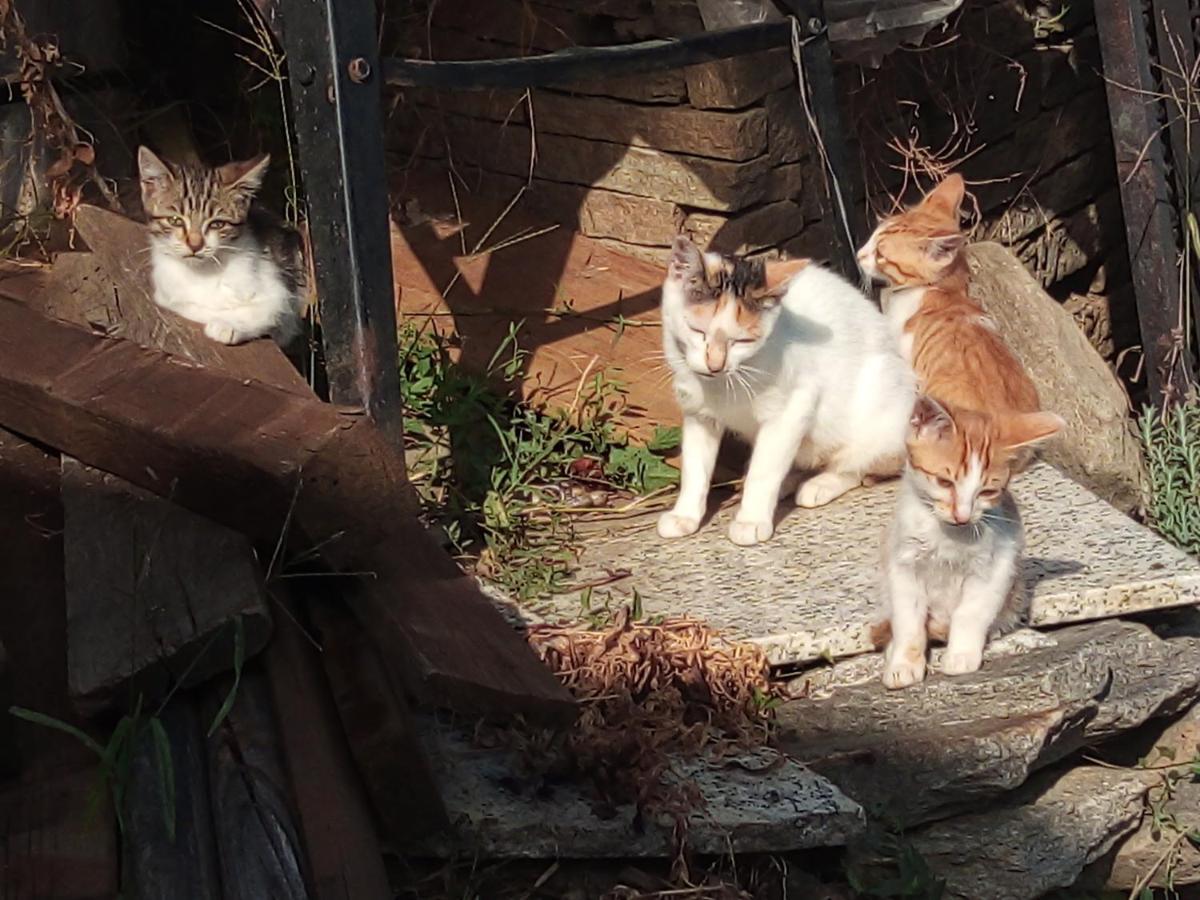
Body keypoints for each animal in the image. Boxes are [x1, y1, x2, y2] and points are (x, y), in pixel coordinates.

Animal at [136, 146, 307, 348]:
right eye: (175, 220)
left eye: (217, 224)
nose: (195, 245)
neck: (201, 272)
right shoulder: (165, 289)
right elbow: (182, 305)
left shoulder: (279, 290)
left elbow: (270, 311)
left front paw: (227, 325)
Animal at [652, 236, 912, 547]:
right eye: (697, 330)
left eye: (741, 341)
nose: (715, 364)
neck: (723, 385)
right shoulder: (699, 415)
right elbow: (695, 468)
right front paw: (685, 515)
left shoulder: (793, 408)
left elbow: (764, 471)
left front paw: (751, 520)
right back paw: (789, 480)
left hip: (880, 406)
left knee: (855, 464)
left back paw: (820, 484)